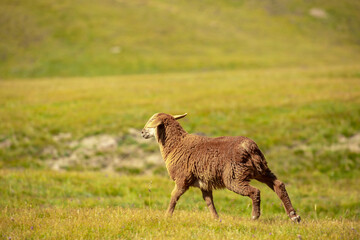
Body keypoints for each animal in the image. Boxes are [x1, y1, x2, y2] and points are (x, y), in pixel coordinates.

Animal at [141, 113, 300, 222]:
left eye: (151, 122)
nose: (142, 132)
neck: (176, 144)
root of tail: (249, 147)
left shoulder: (182, 179)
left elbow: (174, 197)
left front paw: (167, 216)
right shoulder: (204, 183)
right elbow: (209, 202)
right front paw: (217, 219)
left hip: (234, 176)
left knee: (255, 191)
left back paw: (255, 216)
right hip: (260, 169)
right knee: (279, 185)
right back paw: (294, 216)